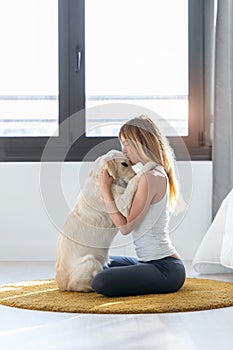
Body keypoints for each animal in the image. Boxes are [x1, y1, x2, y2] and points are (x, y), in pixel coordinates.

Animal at [55, 149, 156, 292]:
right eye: (124, 164)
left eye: (130, 163)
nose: (134, 173)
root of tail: (61, 284)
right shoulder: (122, 206)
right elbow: (133, 183)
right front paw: (149, 166)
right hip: (91, 260)